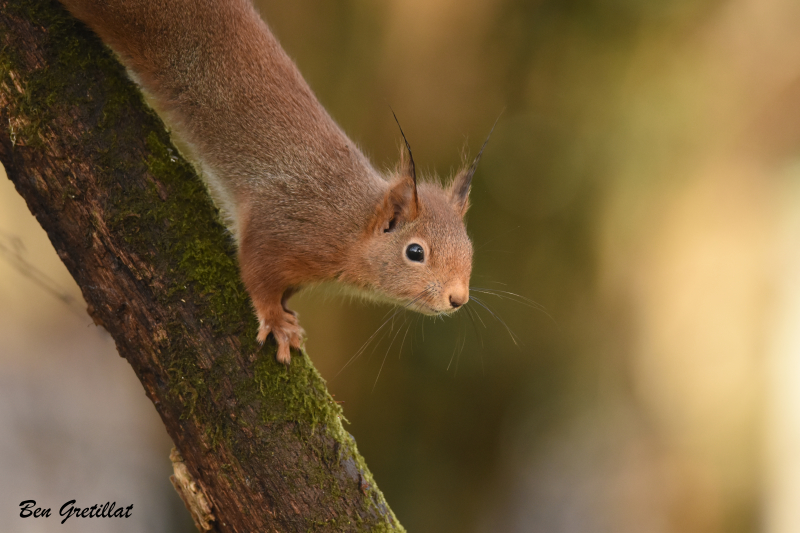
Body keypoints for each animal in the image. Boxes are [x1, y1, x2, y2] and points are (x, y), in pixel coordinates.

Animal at [59, 0, 482, 362]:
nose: (458, 299)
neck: (348, 223)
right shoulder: (282, 225)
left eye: (469, 248)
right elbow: (257, 271)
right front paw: (277, 323)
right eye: (415, 252)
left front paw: (287, 313)